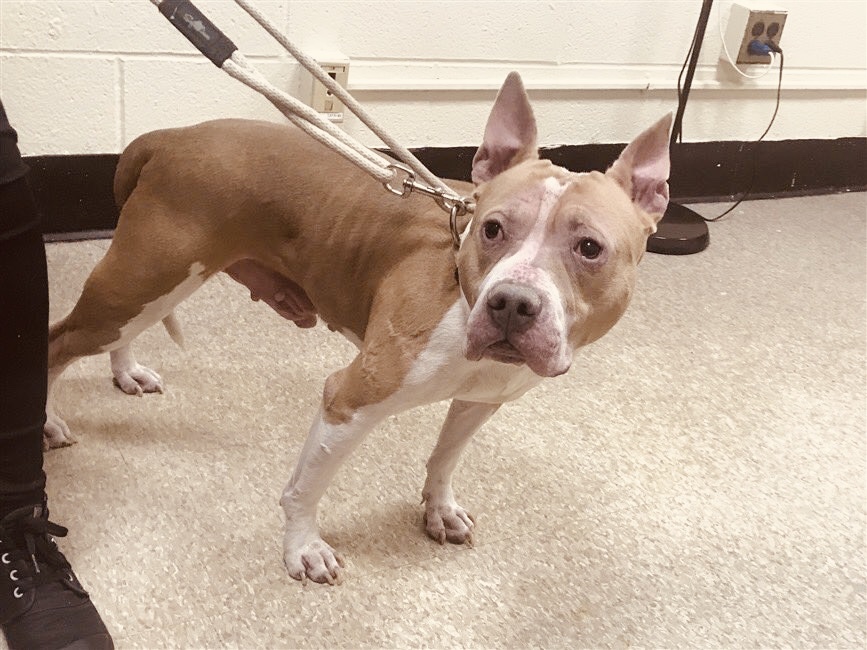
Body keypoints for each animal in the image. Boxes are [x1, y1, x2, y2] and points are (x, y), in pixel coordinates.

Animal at [44, 72, 672, 584]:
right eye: (493, 229)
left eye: (589, 248)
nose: (512, 304)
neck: (460, 287)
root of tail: (171, 137)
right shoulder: (350, 398)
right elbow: (305, 487)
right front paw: (303, 548)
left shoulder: (482, 398)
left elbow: (445, 457)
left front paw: (438, 509)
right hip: (143, 280)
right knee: (57, 342)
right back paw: (48, 421)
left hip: (147, 290)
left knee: (117, 332)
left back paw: (125, 371)